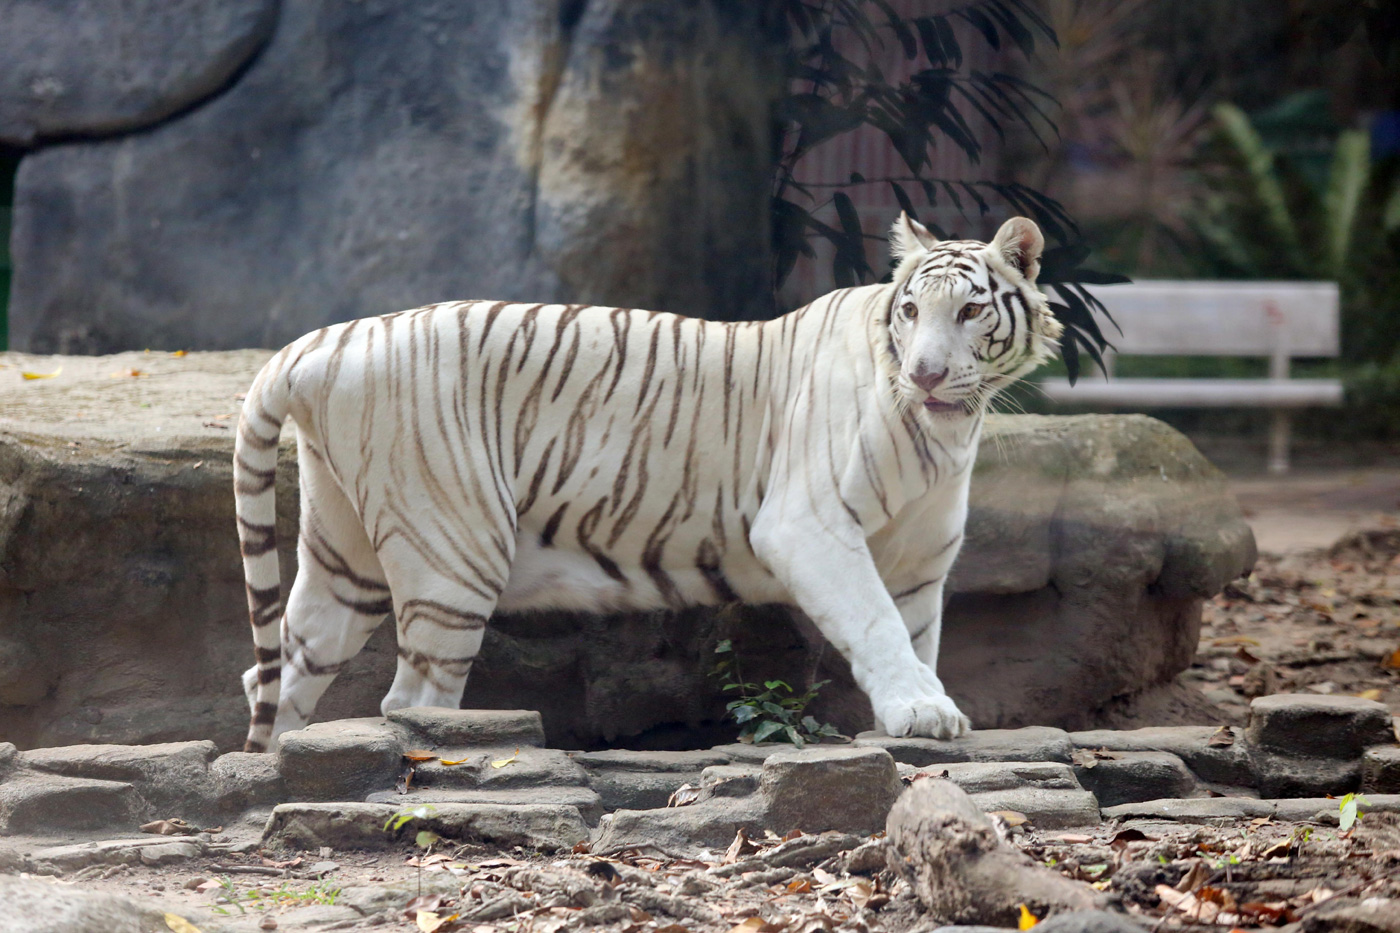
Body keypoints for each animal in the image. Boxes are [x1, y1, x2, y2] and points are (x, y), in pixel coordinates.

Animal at [235, 212, 1058, 750]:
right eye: (912, 309)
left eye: (971, 310)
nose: (925, 374)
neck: (945, 435)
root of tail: (318, 342)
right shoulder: (809, 525)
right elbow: (876, 623)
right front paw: (923, 712)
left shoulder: (919, 560)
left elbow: (916, 632)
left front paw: (924, 704)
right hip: (452, 552)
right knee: (410, 697)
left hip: (345, 561)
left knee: (278, 671)